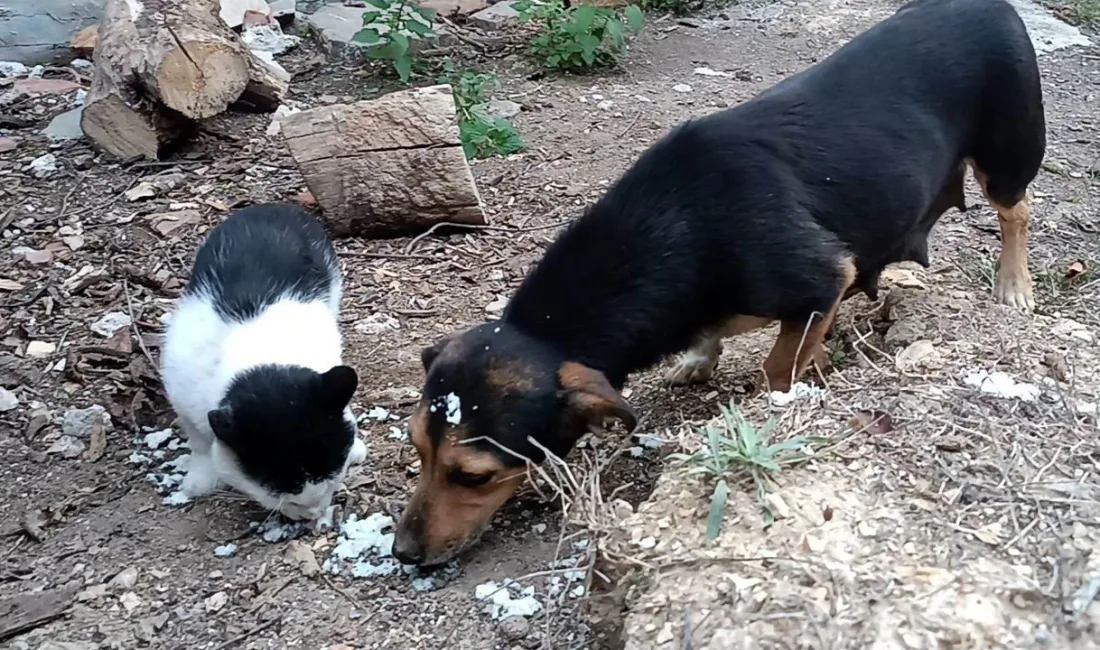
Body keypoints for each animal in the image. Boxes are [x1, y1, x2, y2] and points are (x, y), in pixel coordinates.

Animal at [160, 205, 365, 521]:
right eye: (278, 490)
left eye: (332, 475)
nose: (314, 511)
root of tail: (272, 207)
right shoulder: (182, 394)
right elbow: (200, 443)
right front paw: (199, 480)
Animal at [391, 0, 1042, 563]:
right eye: (417, 448)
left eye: (472, 476)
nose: (403, 555)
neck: (672, 228)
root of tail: (990, 5)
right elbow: (720, 337)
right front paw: (703, 358)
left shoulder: (820, 280)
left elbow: (777, 367)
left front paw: (784, 394)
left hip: (1009, 152)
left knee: (1016, 212)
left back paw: (1014, 285)